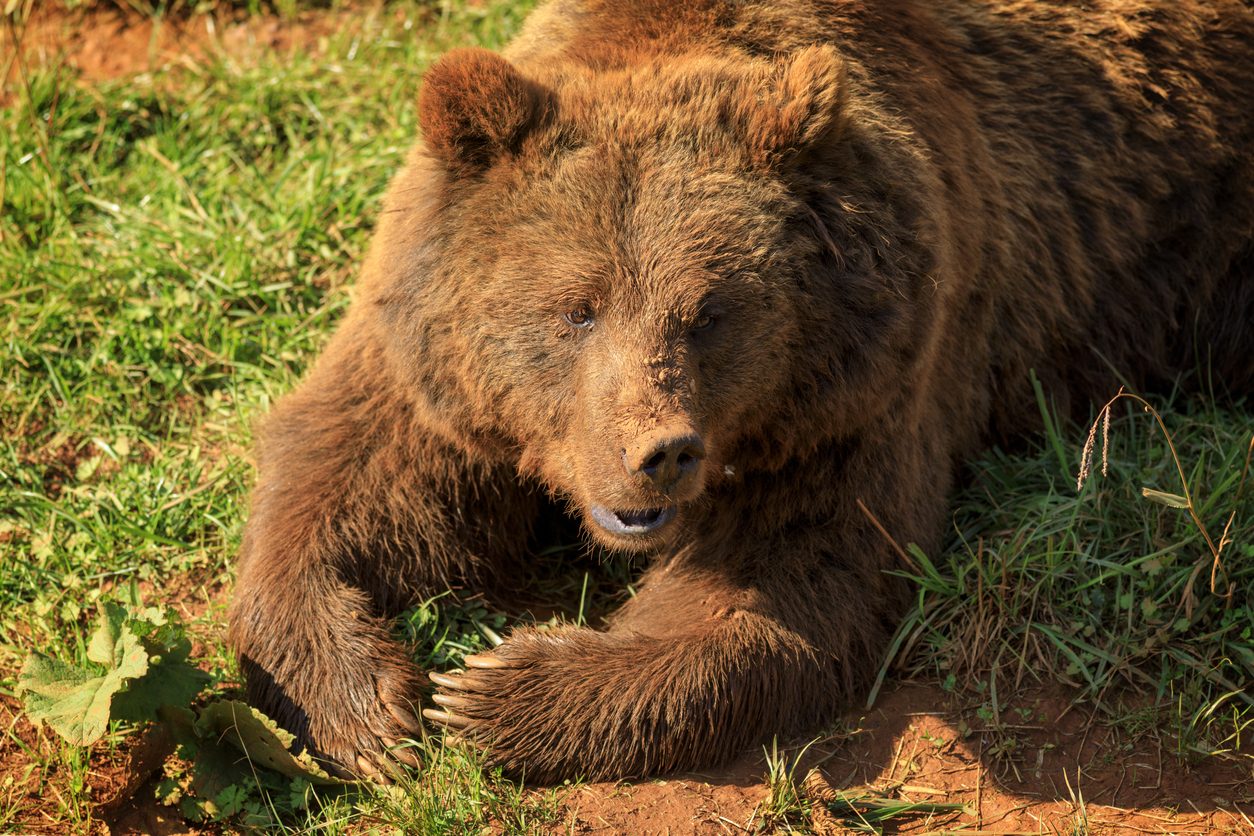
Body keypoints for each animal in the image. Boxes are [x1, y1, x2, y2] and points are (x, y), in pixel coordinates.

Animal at [225, 0, 1254, 787]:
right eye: (577, 310)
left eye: (709, 313)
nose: (661, 452)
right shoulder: (430, 361)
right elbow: (346, 484)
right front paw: (368, 711)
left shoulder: (855, 397)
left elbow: (783, 582)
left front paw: (495, 688)